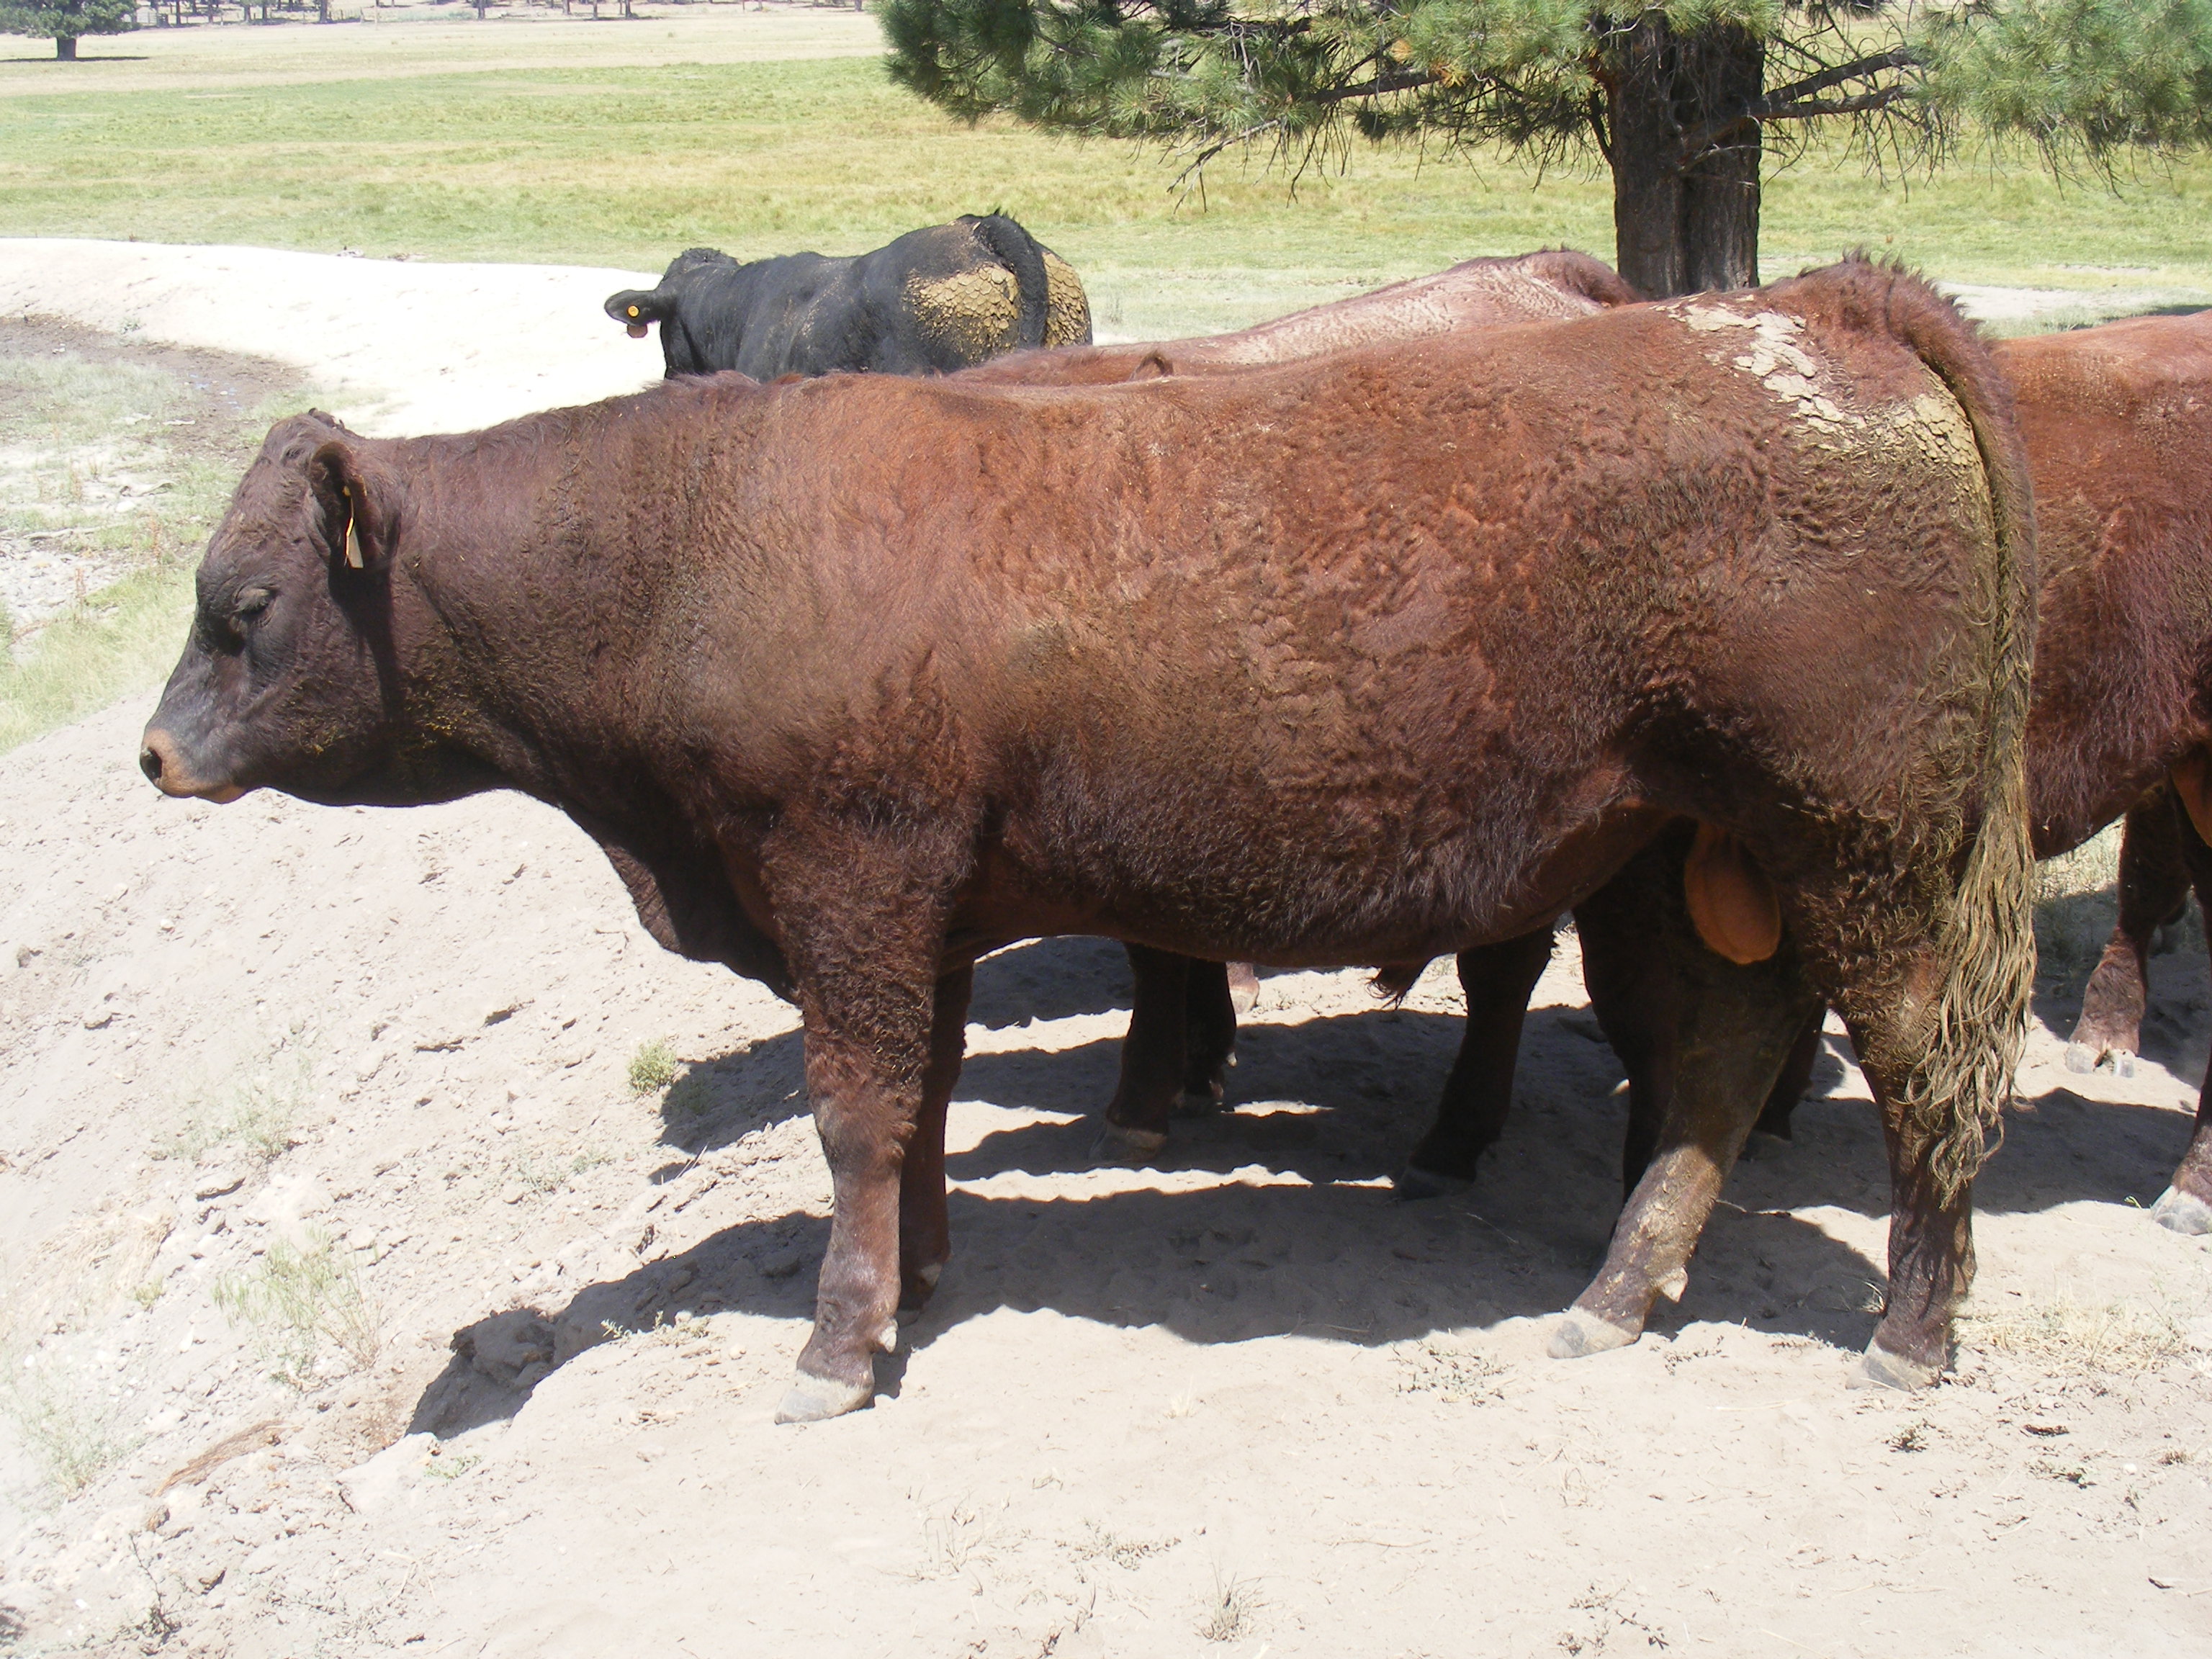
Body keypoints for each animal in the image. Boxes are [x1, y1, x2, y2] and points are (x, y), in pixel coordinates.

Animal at [140, 259, 2033, 1419]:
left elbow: (849, 1113)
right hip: (1676, 851)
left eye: (246, 607)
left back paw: (1910, 1334)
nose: (154, 753)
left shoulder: (848, 885)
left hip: (1862, 844)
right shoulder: (915, 917)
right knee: (1716, 1060)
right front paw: (916, 1280)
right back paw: (1616, 1291)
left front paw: (836, 1341)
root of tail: (1811, 310)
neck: (703, 546)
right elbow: (909, 1109)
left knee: (1929, 1064)